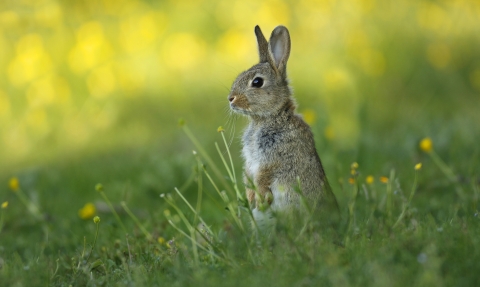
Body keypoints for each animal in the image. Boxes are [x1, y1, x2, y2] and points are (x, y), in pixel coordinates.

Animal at [228, 24, 338, 232]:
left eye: (257, 82)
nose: (231, 99)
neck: (269, 117)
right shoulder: (250, 162)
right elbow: (248, 175)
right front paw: (250, 198)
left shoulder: (273, 158)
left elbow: (263, 177)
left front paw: (259, 199)